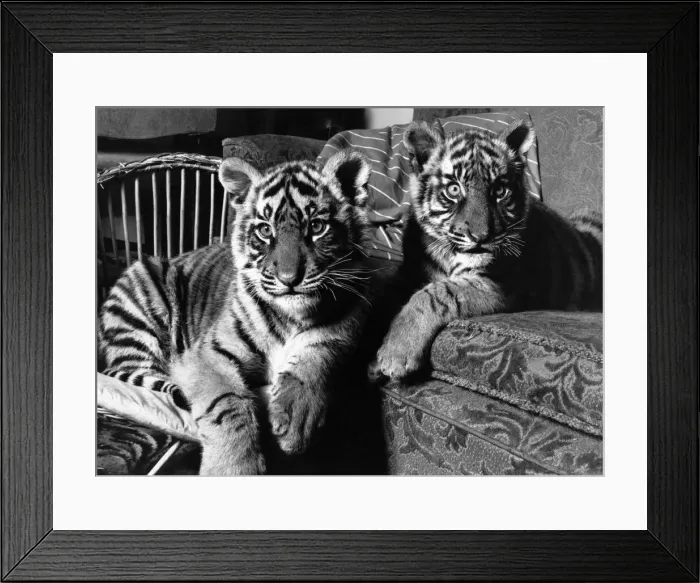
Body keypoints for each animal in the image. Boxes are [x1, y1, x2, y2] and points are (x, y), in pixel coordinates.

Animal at [98, 149, 376, 475]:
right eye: (265, 230)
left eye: (317, 227)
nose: (288, 279)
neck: (292, 317)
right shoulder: (208, 354)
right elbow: (227, 402)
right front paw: (232, 469)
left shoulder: (342, 332)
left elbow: (316, 359)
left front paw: (296, 419)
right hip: (140, 291)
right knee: (135, 370)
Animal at [370, 119, 603, 380]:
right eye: (454, 189)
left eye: (500, 191)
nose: (481, 237)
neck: (446, 254)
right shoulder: (407, 272)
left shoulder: (498, 285)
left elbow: (435, 294)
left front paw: (396, 353)